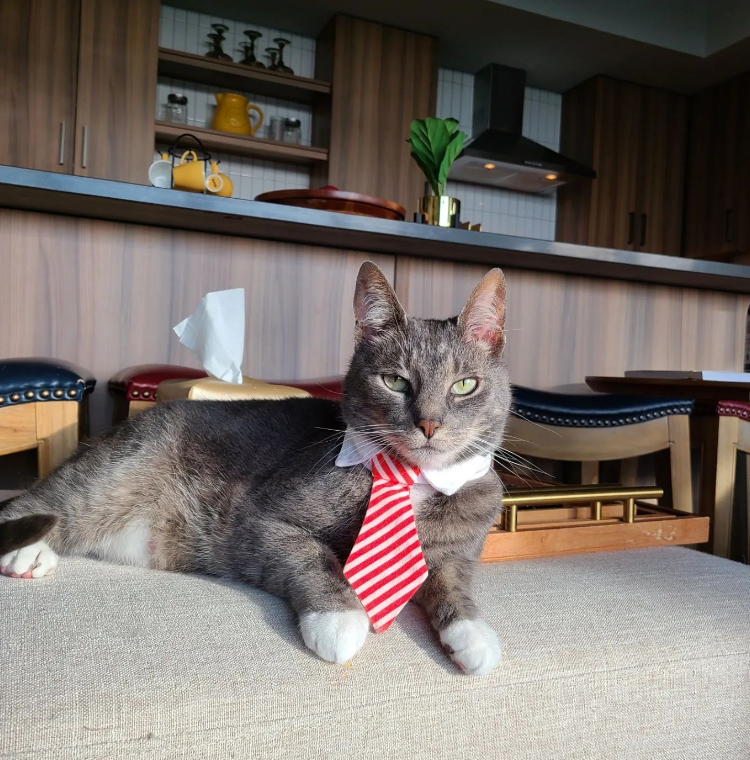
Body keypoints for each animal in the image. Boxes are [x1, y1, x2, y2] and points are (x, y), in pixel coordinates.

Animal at [0, 262, 512, 676]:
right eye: (395, 381)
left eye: (464, 385)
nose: (429, 423)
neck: (413, 481)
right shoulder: (263, 519)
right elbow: (313, 556)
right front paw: (340, 619)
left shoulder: (459, 552)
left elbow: (453, 582)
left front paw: (474, 635)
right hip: (113, 480)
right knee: (40, 503)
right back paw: (27, 550)